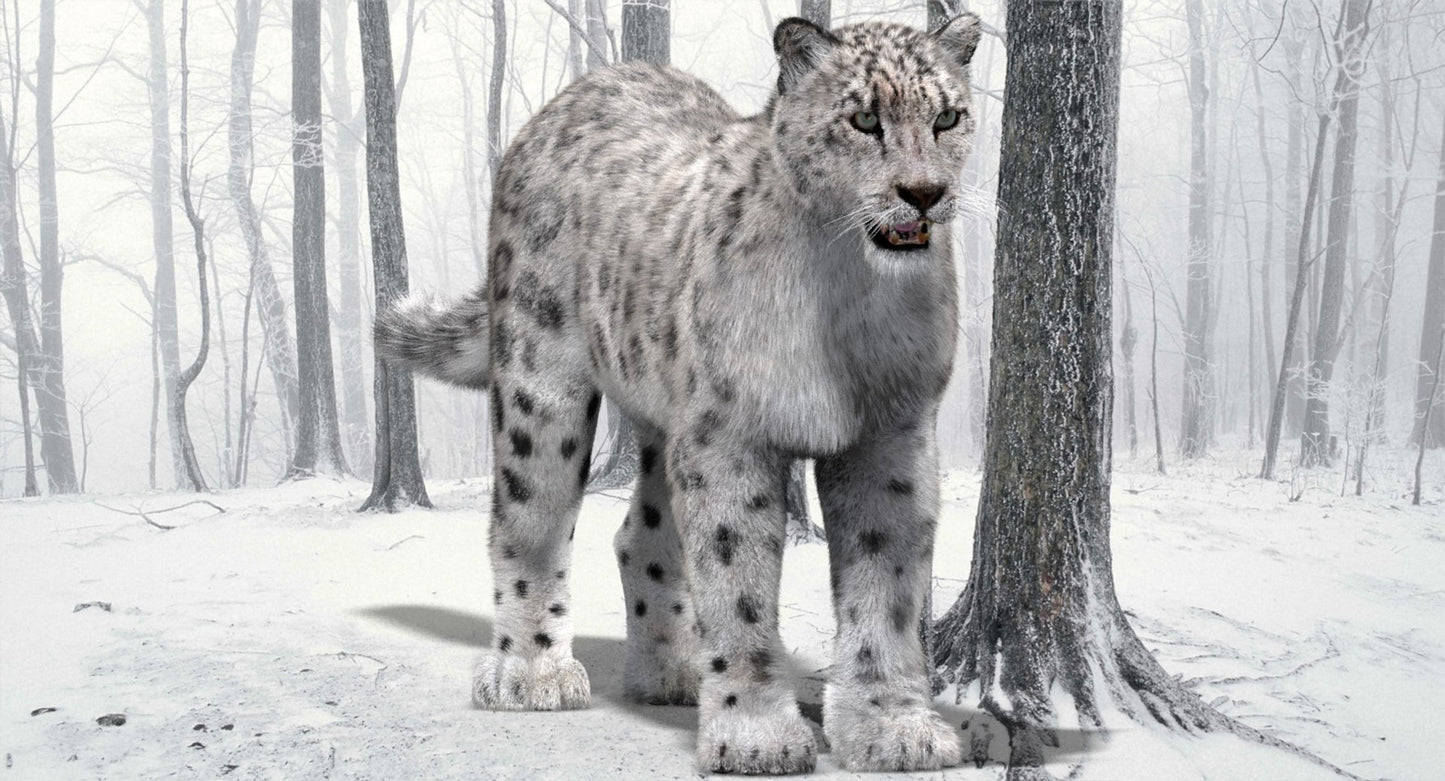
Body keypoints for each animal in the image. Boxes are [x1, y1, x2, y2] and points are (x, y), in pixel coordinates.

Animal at [375, 13, 982, 774]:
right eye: (864, 118)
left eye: (947, 117)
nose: (923, 191)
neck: (850, 295)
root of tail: (573, 95)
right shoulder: (731, 437)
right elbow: (738, 584)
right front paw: (755, 735)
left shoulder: (890, 437)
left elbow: (888, 587)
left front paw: (893, 727)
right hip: (543, 387)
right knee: (527, 519)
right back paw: (531, 673)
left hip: (671, 418)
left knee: (641, 534)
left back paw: (672, 671)